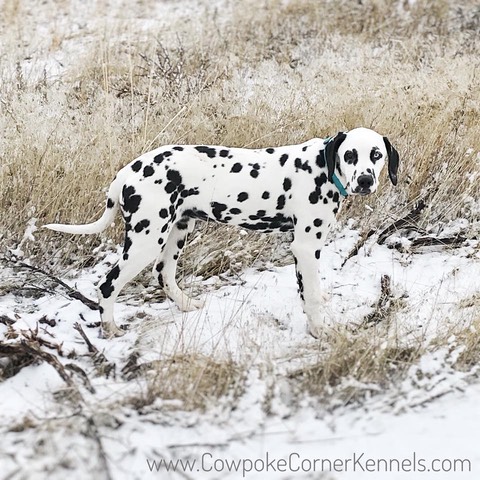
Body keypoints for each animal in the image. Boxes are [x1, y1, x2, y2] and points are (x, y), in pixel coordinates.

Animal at [46, 127, 398, 338]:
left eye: (376, 155)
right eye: (349, 155)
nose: (365, 180)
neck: (321, 169)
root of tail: (126, 173)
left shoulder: (305, 250)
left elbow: (308, 289)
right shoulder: (305, 245)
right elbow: (309, 295)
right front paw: (320, 330)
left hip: (176, 233)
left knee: (163, 274)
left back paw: (186, 305)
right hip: (147, 239)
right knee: (108, 285)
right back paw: (109, 328)